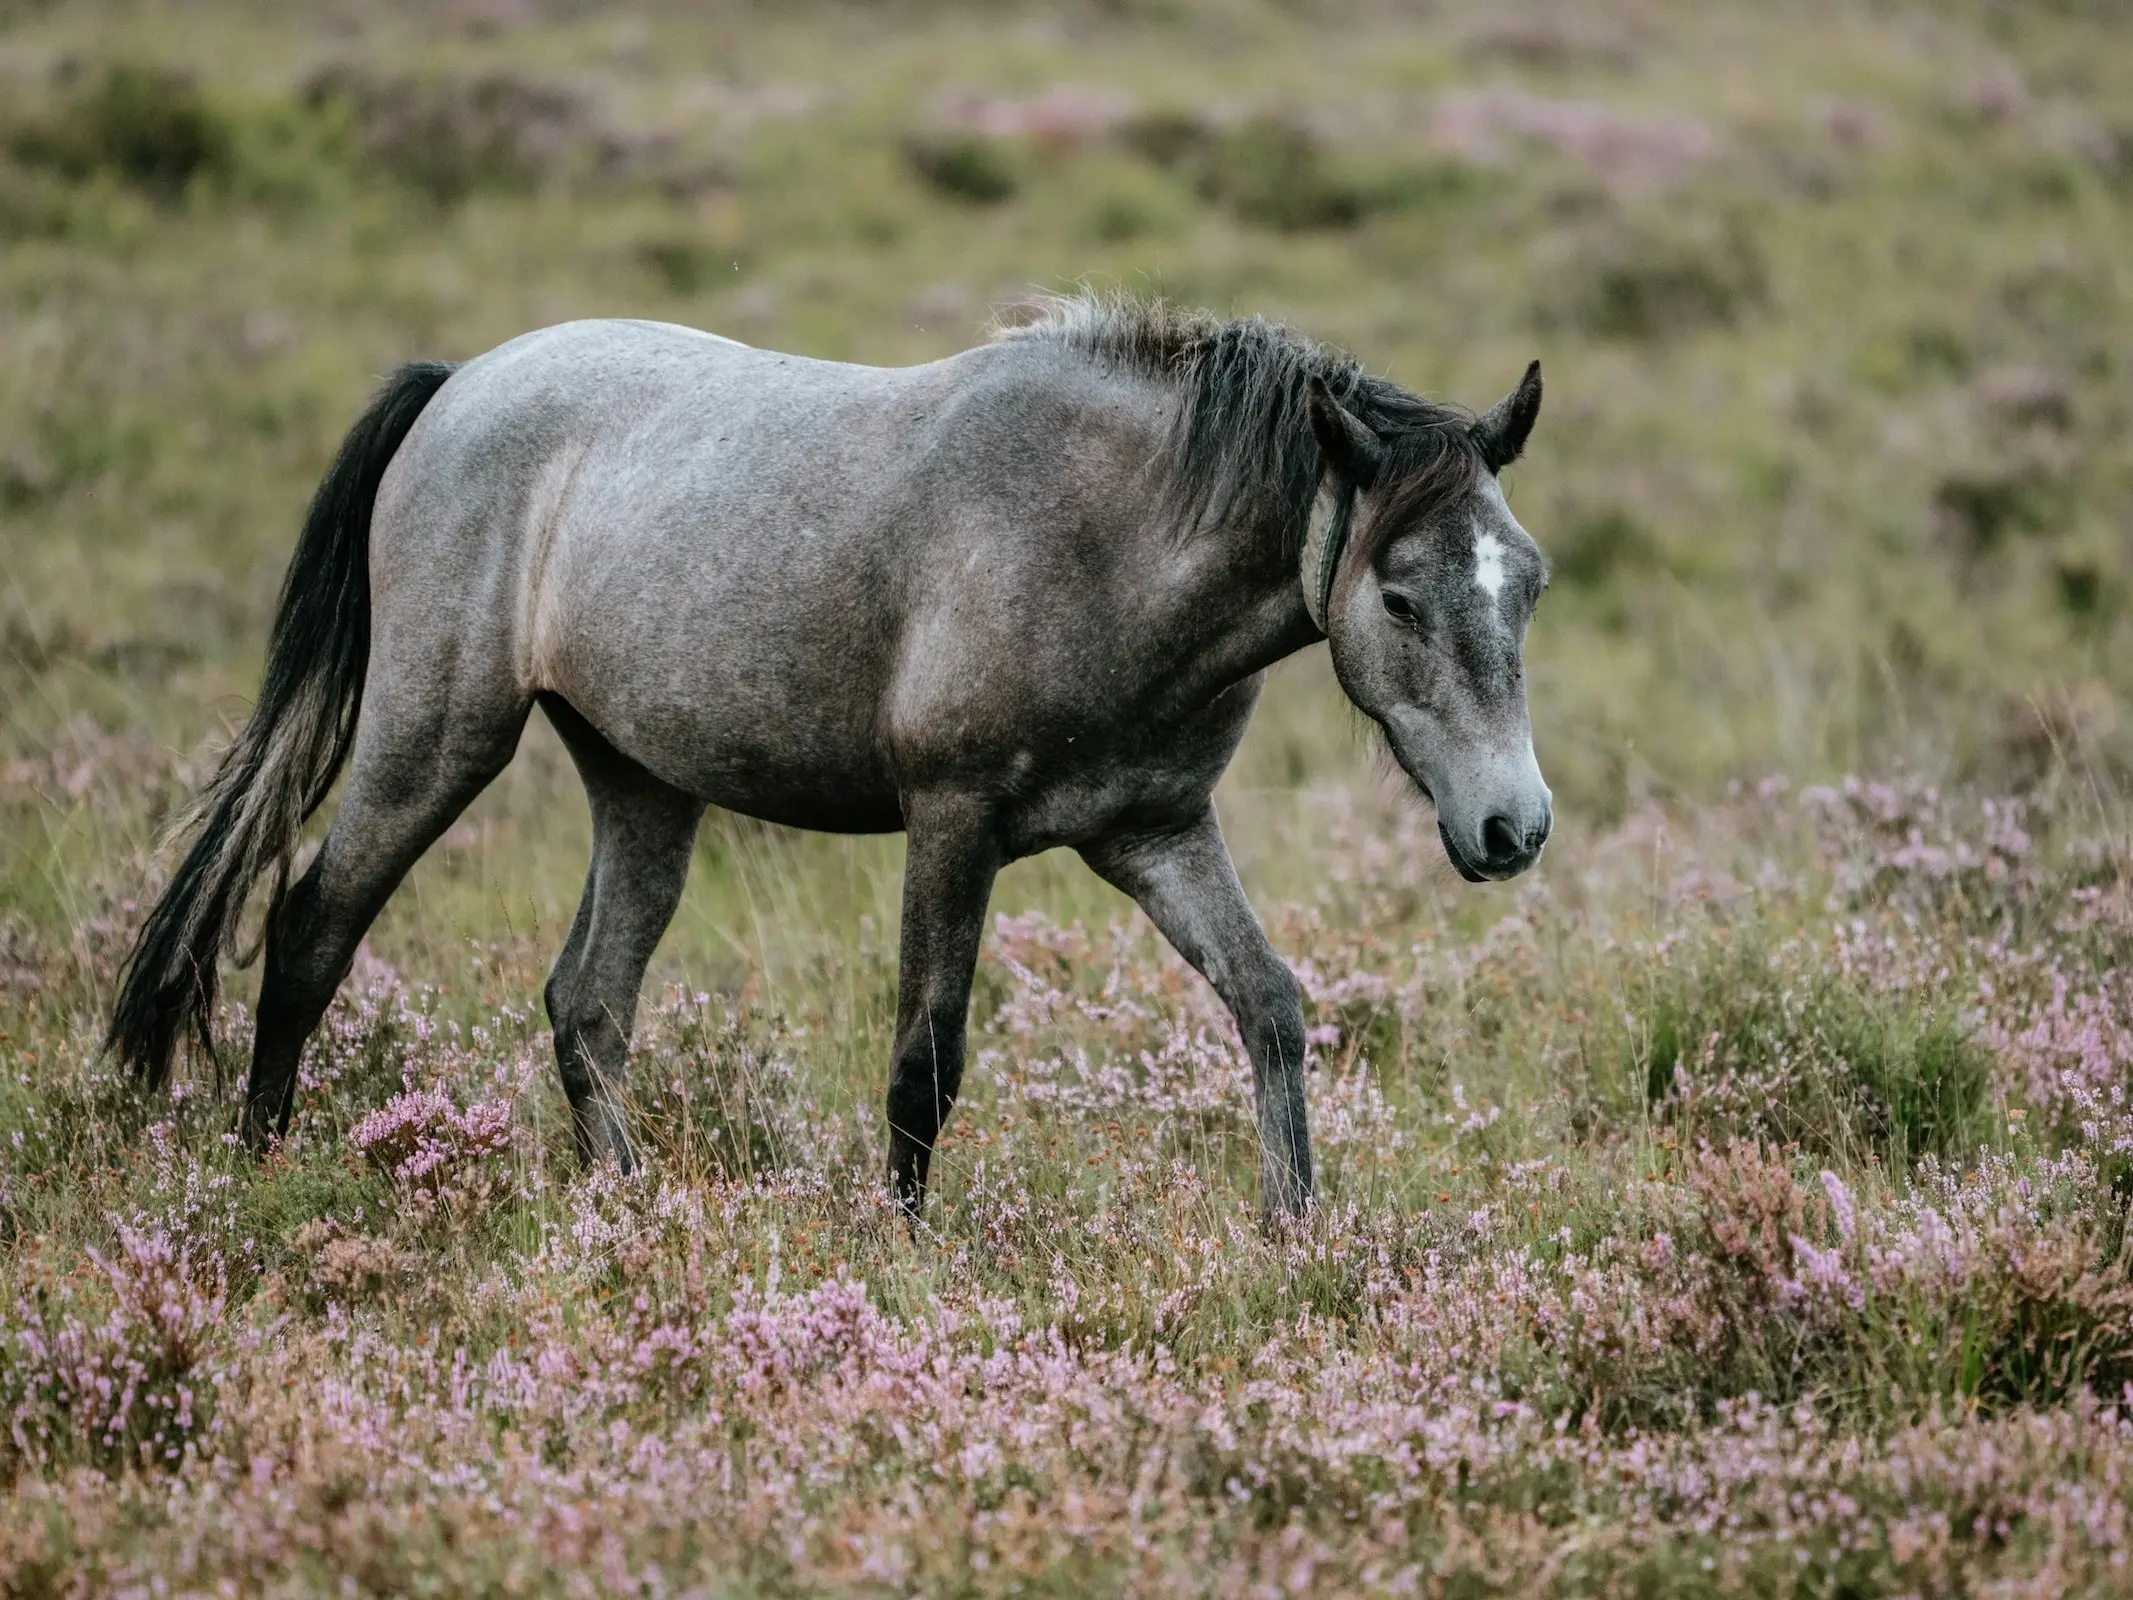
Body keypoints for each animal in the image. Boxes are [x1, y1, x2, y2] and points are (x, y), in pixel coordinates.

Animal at [108, 294, 1552, 1220]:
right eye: (1401, 597)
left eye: (1528, 580)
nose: (1512, 829)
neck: (1108, 537)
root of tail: (458, 383)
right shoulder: (953, 825)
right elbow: (926, 1062)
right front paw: (904, 1256)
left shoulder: (1153, 832)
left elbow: (1271, 1007)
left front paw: (1295, 1239)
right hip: (435, 738)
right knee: (312, 928)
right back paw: (259, 1176)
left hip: (641, 785)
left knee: (588, 1002)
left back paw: (628, 1213)